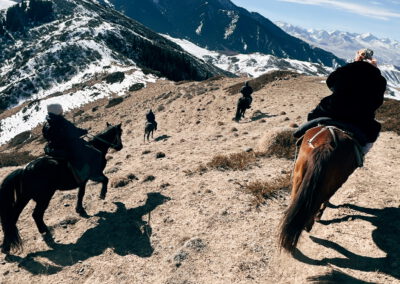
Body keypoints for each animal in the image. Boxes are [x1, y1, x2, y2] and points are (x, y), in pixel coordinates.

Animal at [0, 122, 122, 253]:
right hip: (44, 197)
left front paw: (80, 209)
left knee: (14, 218)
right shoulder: (95, 175)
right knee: (35, 214)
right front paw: (102, 195)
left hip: (25, 198)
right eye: (120, 132)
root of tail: (24, 170)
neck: (97, 147)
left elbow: (81, 194)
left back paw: (7, 245)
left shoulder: (83, 181)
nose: (120, 147)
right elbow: (105, 180)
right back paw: (43, 231)